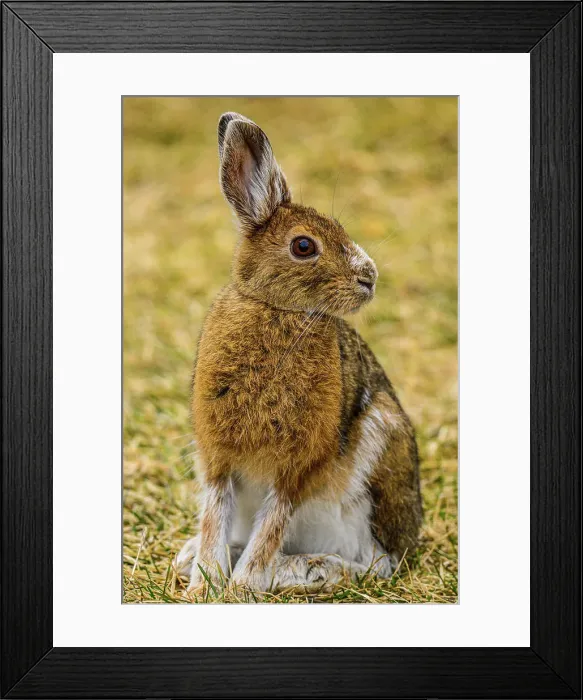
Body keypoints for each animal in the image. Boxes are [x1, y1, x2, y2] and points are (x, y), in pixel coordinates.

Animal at [175, 112, 422, 594]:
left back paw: (308, 569)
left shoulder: (298, 464)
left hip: (376, 455)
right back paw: (190, 557)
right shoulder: (218, 457)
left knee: (376, 563)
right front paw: (204, 587)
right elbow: (215, 516)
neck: (277, 310)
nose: (369, 278)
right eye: (304, 246)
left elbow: (272, 526)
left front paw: (242, 586)